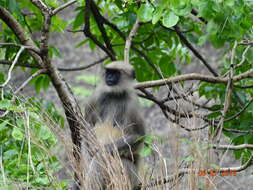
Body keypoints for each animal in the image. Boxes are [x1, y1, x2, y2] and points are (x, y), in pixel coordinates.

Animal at [78, 60, 145, 189]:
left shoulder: (132, 104)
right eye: (109, 72)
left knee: (122, 160)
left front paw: (103, 149)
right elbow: (85, 127)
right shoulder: (96, 96)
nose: (109, 77)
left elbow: (138, 136)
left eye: (116, 73)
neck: (115, 95)